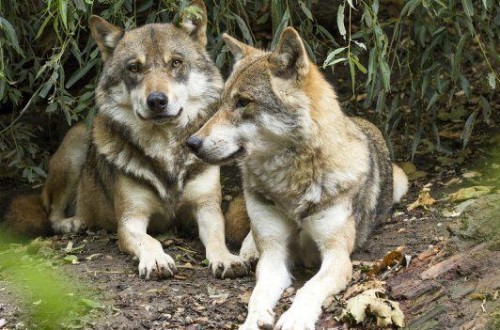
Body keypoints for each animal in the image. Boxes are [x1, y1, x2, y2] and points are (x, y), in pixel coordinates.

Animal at [4, 0, 249, 280]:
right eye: (134, 68)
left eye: (176, 63)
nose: (157, 101)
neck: (164, 147)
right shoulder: (130, 219)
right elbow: (150, 240)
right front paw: (156, 260)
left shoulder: (207, 209)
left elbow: (218, 238)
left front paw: (226, 259)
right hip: (77, 144)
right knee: (52, 212)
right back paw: (73, 222)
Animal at [186, 27, 408, 328]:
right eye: (221, 103)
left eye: (243, 102)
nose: (192, 143)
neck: (290, 186)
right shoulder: (275, 254)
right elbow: (258, 294)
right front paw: (253, 320)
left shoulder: (337, 256)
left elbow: (308, 289)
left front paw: (294, 318)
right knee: (251, 237)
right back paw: (248, 252)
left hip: (402, 181)